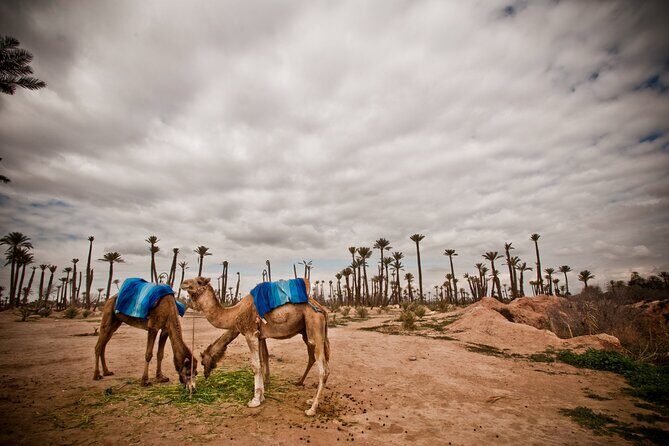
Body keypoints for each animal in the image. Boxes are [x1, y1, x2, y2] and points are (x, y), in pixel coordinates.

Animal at [181, 276, 330, 416]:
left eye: (199, 282)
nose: (183, 283)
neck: (235, 312)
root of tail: (322, 310)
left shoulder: (250, 334)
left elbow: (255, 365)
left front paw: (255, 400)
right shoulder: (260, 336)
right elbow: (263, 361)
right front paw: (262, 396)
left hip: (314, 326)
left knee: (323, 370)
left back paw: (312, 409)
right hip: (313, 332)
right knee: (322, 363)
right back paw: (310, 399)